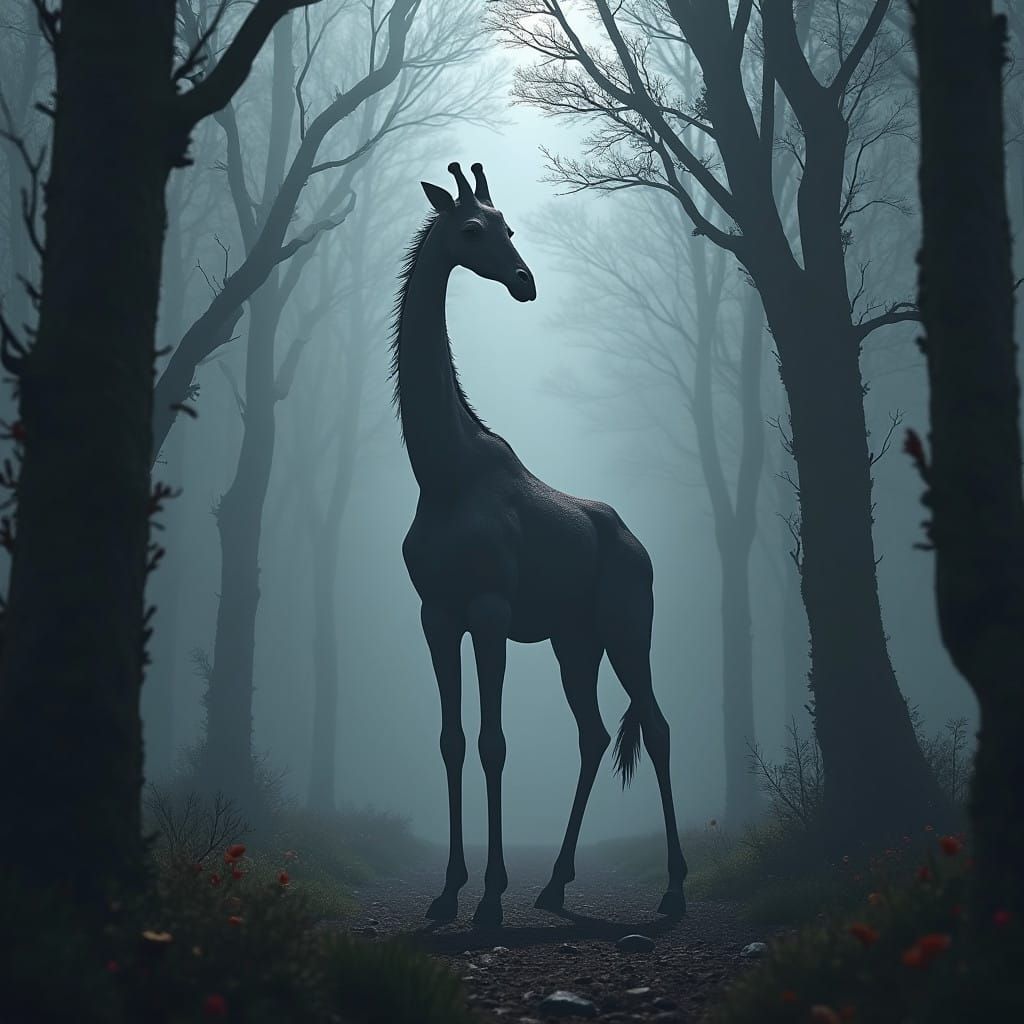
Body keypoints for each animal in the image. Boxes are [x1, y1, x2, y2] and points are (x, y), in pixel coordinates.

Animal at [393, 161, 688, 928]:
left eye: (511, 228)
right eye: (473, 230)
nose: (524, 281)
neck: (443, 472)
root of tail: (641, 549)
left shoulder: (490, 610)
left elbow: (494, 743)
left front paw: (490, 897)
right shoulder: (437, 615)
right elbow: (452, 741)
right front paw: (448, 892)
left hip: (628, 630)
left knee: (656, 726)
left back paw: (675, 890)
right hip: (573, 643)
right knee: (594, 735)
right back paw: (554, 885)